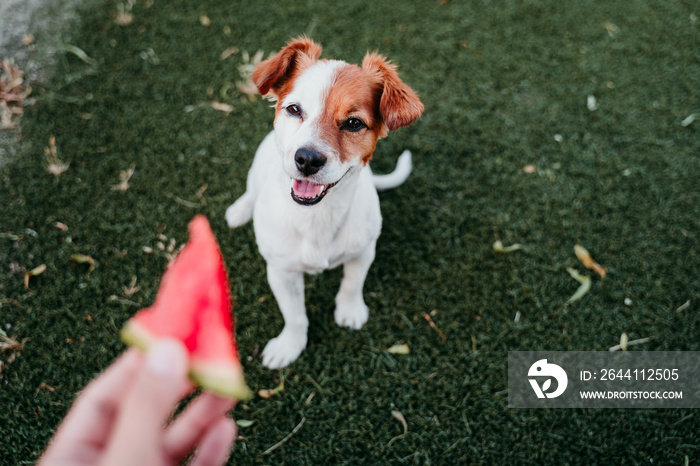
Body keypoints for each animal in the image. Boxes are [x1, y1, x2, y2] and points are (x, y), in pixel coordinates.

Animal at [226, 37, 422, 368]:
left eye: (354, 123)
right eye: (294, 109)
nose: (307, 159)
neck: (318, 216)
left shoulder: (363, 251)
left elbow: (352, 284)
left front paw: (350, 310)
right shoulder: (281, 272)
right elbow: (295, 316)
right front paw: (290, 345)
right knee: (250, 191)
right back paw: (240, 211)